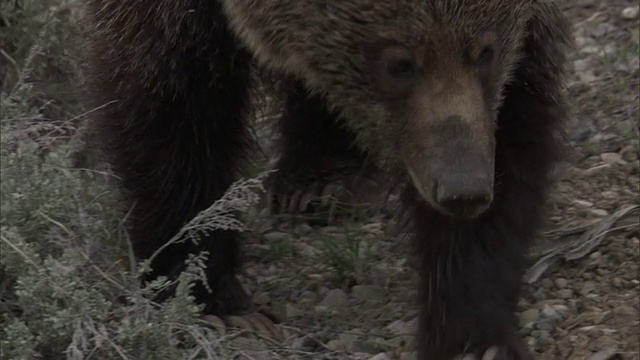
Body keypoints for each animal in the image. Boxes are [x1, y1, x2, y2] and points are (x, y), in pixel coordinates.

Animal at [81, 1, 576, 358]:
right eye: (399, 63)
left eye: (485, 53)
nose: (463, 190)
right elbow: (172, 111)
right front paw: (212, 302)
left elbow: (517, 124)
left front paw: (473, 336)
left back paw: (322, 180)